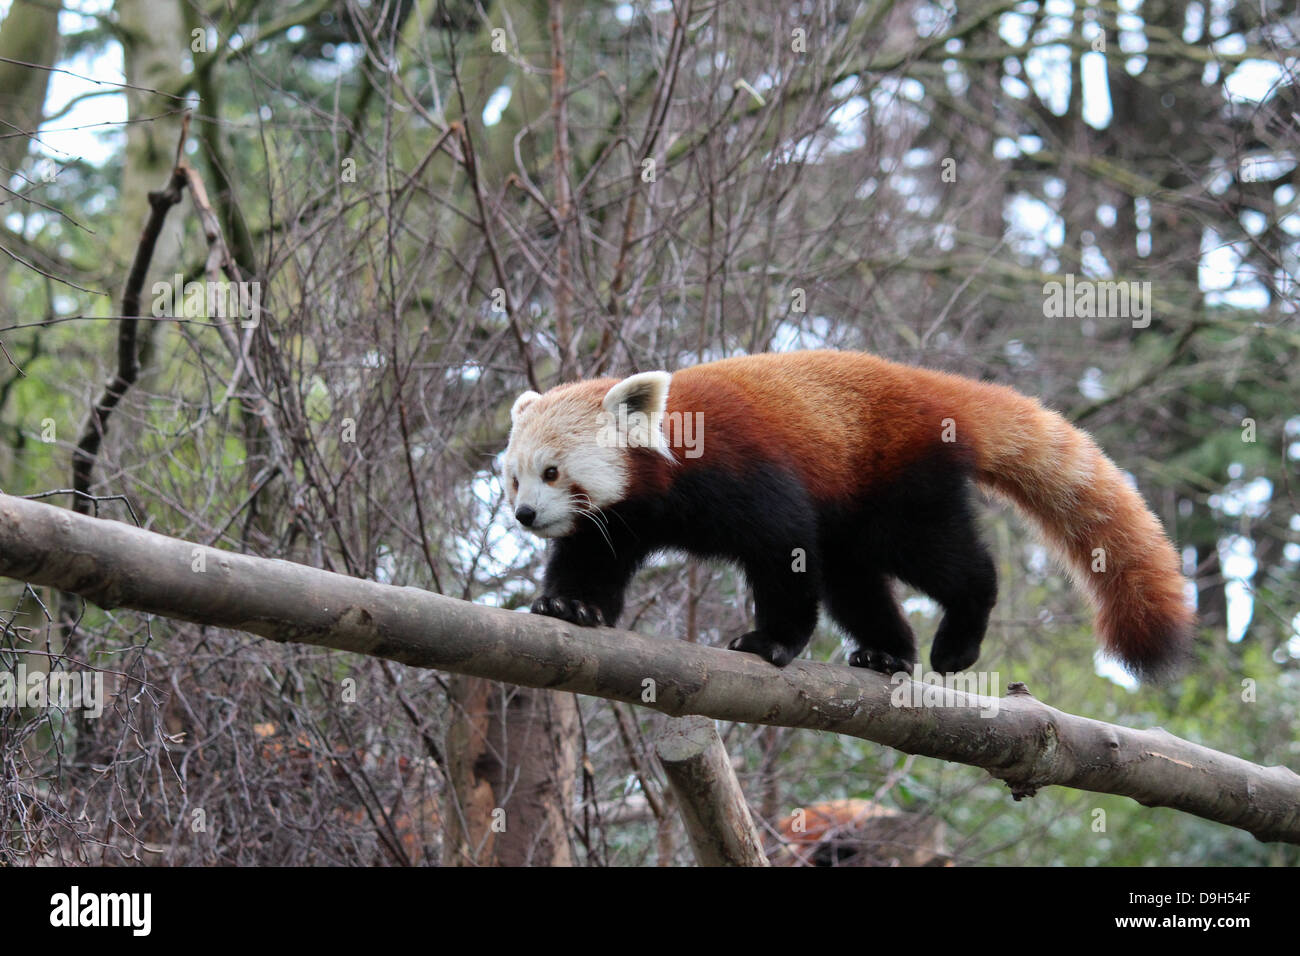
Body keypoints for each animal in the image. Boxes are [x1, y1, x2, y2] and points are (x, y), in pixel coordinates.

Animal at [501, 351, 1190, 681]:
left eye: (553, 472)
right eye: (513, 477)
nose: (524, 515)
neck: (668, 473)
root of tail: (929, 385)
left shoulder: (743, 471)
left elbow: (783, 548)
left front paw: (771, 642)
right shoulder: (625, 516)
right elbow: (594, 557)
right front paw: (570, 605)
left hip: (897, 481)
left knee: (944, 561)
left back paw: (958, 637)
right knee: (853, 581)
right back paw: (888, 652)